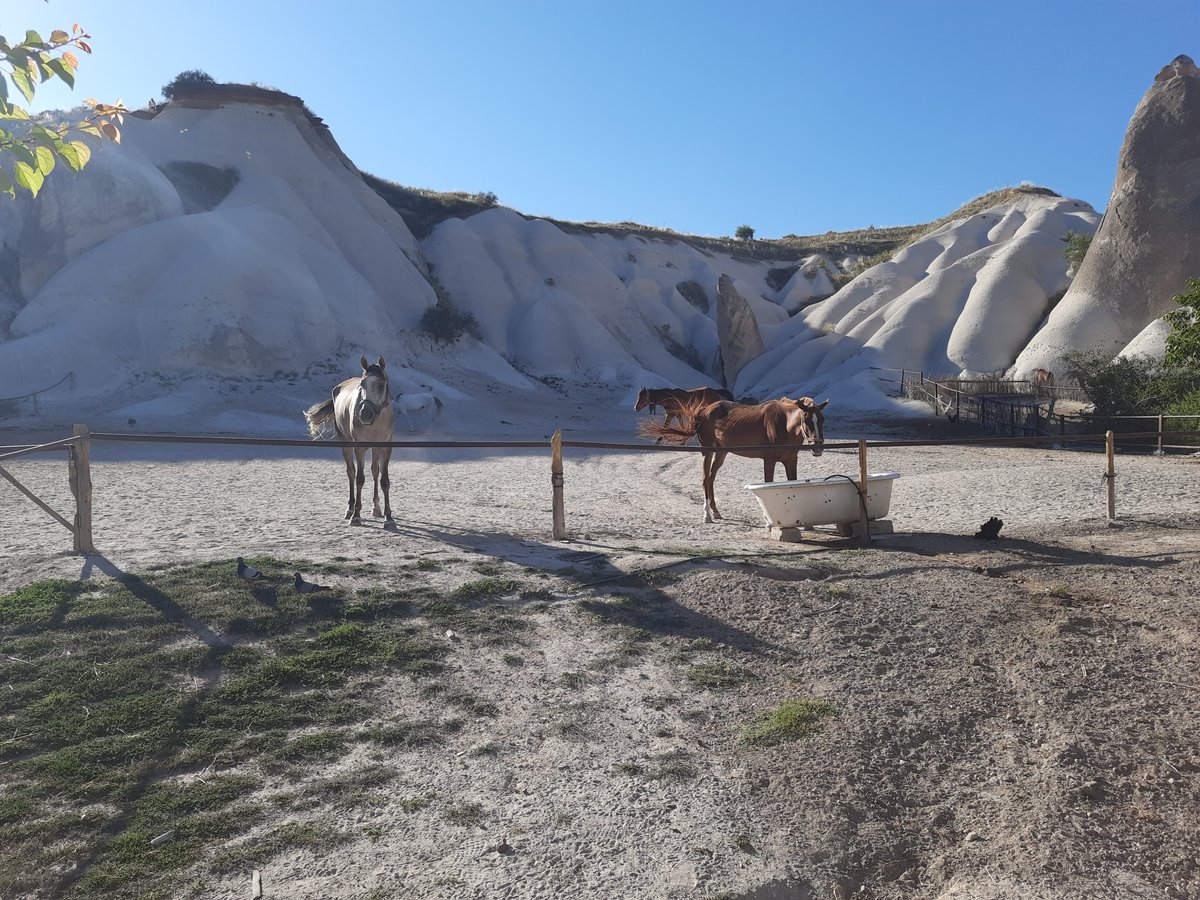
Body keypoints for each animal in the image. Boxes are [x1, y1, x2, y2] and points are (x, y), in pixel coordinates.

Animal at [302, 355, 396, 528]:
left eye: (381, 385)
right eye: (362, 385)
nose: (365, 414)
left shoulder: (386, 448)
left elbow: (384, 480)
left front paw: (389, 517)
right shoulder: (359, 448)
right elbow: (359, 479)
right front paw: (356, 515)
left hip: (375, 449)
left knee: (375, 471)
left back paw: (376, 508)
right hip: (346, 443)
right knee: (351, 473)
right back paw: (350, 509)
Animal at [643, 398, 830, 525]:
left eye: (822, 420)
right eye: (806, 419)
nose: (818, 447)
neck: (783, 424)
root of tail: (703, 411)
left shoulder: (791, 460)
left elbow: (794, 483)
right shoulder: (769, 460)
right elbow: (768, 483)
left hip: (721, 453)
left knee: (711, 478)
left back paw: (716, 511)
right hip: (707, 451)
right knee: (705, 480)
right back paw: (707, 515)